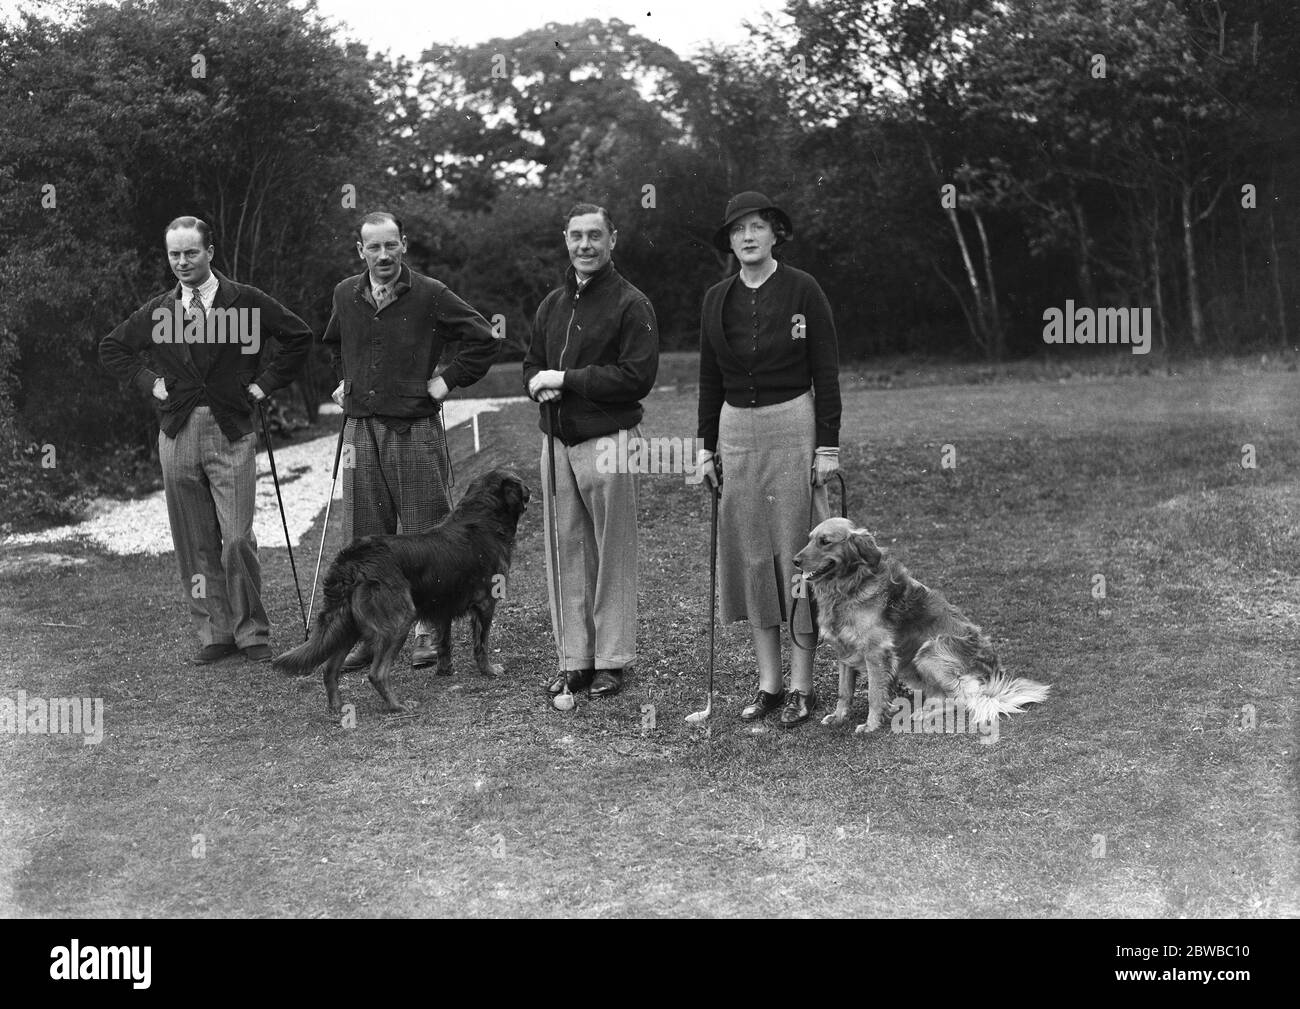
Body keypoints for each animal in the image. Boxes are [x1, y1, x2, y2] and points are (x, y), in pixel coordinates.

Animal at [274, 468, 533, 712]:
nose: (530, 491)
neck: (485, 518)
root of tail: (352, 560)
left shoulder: (443, 606)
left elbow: (444, 643)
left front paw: (445, 671)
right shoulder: (486, 603)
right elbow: (482, 644)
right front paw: (489, 671)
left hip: (347, 624)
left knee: (329, 669)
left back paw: (337, 707)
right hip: (400, 619)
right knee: (376, 673)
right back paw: (398, 706)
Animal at [785, 520, 1050, 733]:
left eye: (825, 541)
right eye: (809, 539)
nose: (795, 561)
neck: (849, 586)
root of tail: (995, 673)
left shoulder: (876, 652)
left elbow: (874, 694)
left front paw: (871, 725)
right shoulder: (844, 651)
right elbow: (844, 692)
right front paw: (839, 717)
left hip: (929, 652)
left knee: (962, 698)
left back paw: (925, 713)